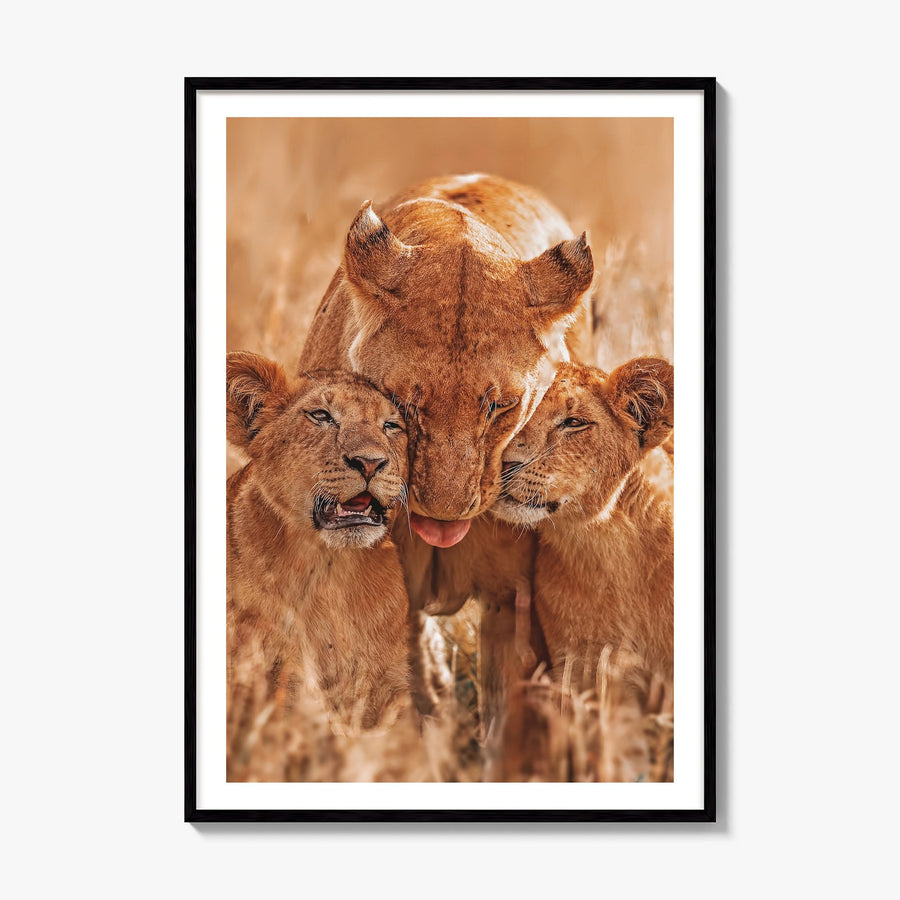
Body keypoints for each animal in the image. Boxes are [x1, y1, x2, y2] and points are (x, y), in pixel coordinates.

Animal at [225, 352, 415, 735]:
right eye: (322, 416)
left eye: (391, 425)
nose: (370, 462)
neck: (333, 570)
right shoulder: (273, 668)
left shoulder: (395, 681)